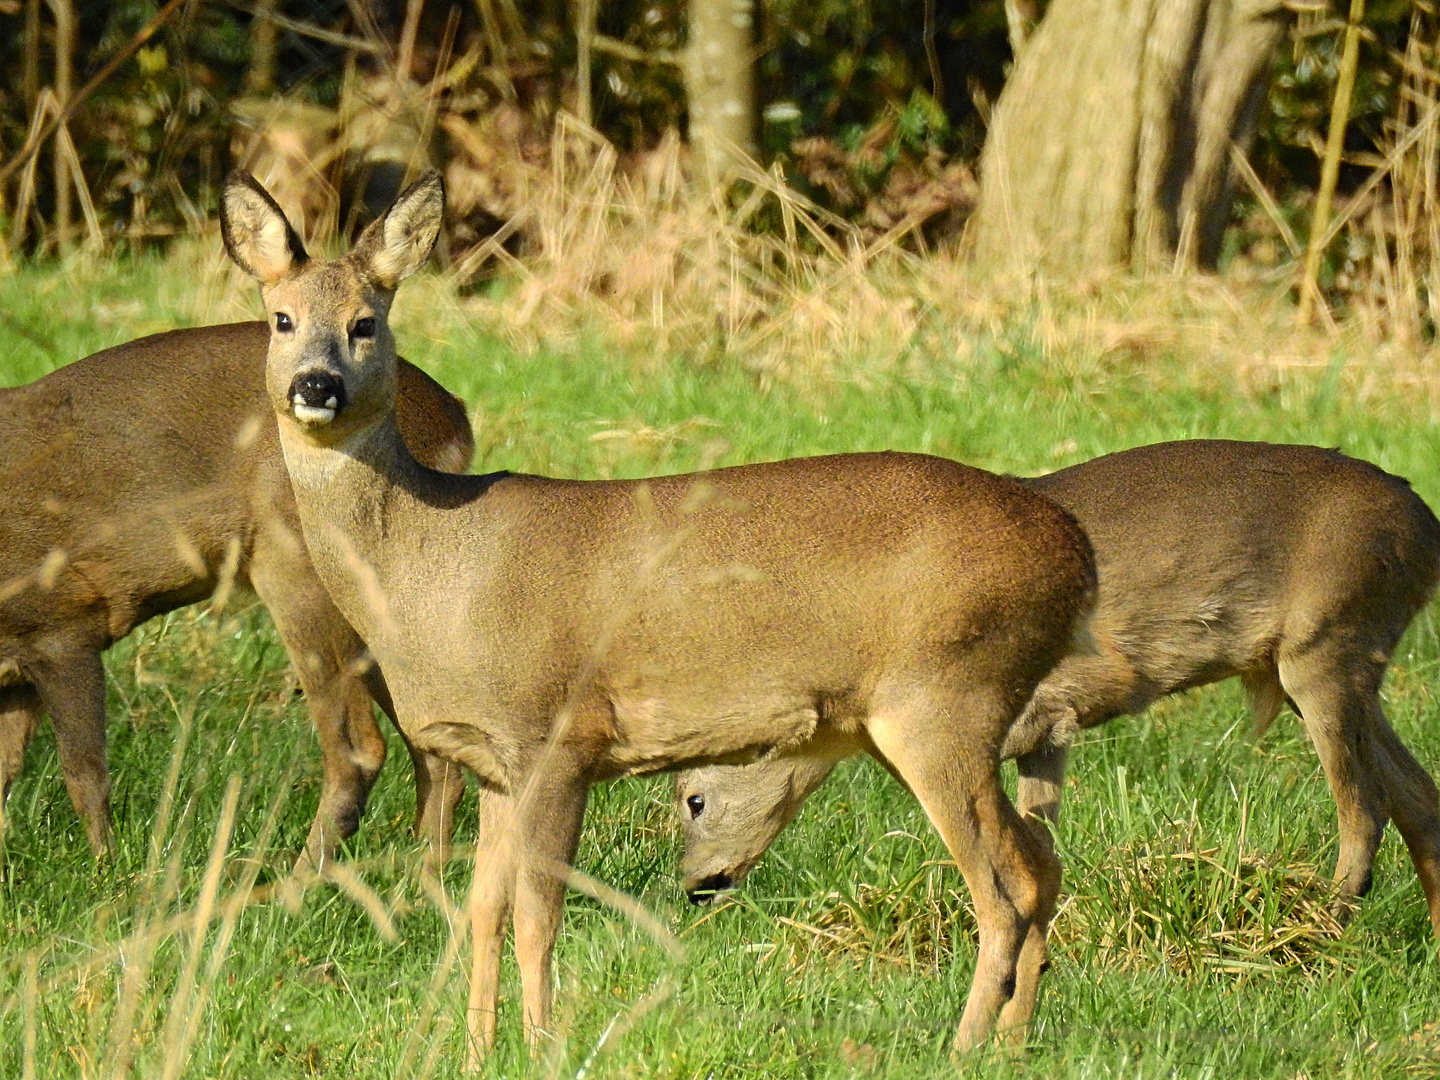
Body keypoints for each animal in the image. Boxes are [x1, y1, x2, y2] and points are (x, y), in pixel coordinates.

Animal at [0, 316, 472, 869]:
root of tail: (457, 418)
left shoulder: (63, 623)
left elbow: (84, 774)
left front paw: (108, 873)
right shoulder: (15, 671)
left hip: (299, 567)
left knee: (361, 749)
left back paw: (294, 872)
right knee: (433, 751)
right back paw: (418, 874)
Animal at [221, 171, 1100, 1065]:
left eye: (366, 322)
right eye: (281, 317)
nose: (315, 385)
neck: (430, 565)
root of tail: (1073, 548)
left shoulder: (556, 735)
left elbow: (538, 915)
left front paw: (544, 1047)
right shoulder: (494, 759)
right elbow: (482, 912)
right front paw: (475, 1052)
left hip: (947, 697)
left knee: (1005, 884)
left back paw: (966, 1045)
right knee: (1043, 864)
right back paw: (1013, 1040)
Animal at [673, 437, 1440, 938]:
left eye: (693, 799)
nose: (695, 887)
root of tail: (1423, 524)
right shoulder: (1046, 731)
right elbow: (1041, 838)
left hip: (1327, 642)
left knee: (1365, 806)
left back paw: (1320, 933)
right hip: (1340, 659)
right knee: (1418, 795)